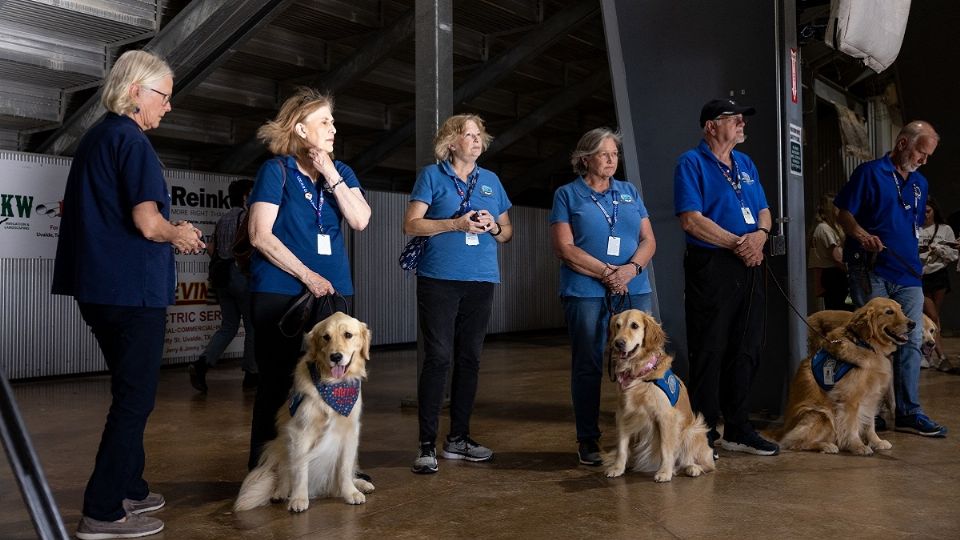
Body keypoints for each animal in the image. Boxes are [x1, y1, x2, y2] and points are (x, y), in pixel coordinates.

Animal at [236, 312, 376, 510]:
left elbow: (345, 468)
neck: (333, 387)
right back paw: (280, 493)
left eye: (348, 335)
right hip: (278, 445)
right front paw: (299, 498)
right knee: (283, 473)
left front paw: (350, 492)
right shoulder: (300, 431)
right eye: (326, 337)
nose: (336, 356)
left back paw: (361, 484)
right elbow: (300, 469)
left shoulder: (350, 431)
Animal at [608, 310, 712, 484]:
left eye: (634, 325)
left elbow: (665, 448)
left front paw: (664, 472)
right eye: (617, 325)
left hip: (693, 430)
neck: (640, 373)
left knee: (707, 464)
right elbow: (621, 447)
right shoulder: (623, 414)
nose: (618, 343)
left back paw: (693, 468)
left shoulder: (666, 417)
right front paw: (617, 468)